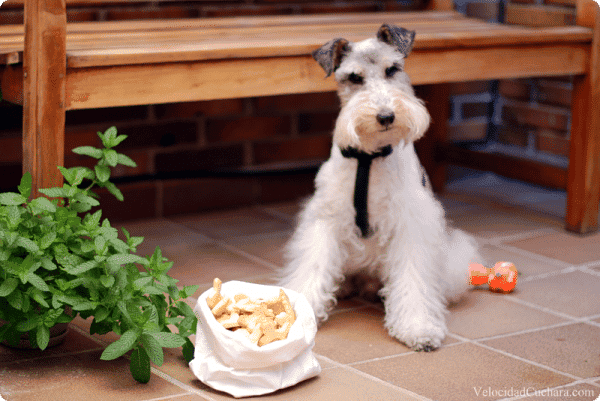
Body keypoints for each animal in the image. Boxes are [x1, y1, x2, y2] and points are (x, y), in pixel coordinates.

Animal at [278, 25, 480, 350]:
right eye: (354, 77)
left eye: (393, 69)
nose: (386, 116)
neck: (369, 158)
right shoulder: (327, 218)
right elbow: (313, 266)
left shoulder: (410, 224)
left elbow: (413, 278)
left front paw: (418, 327)